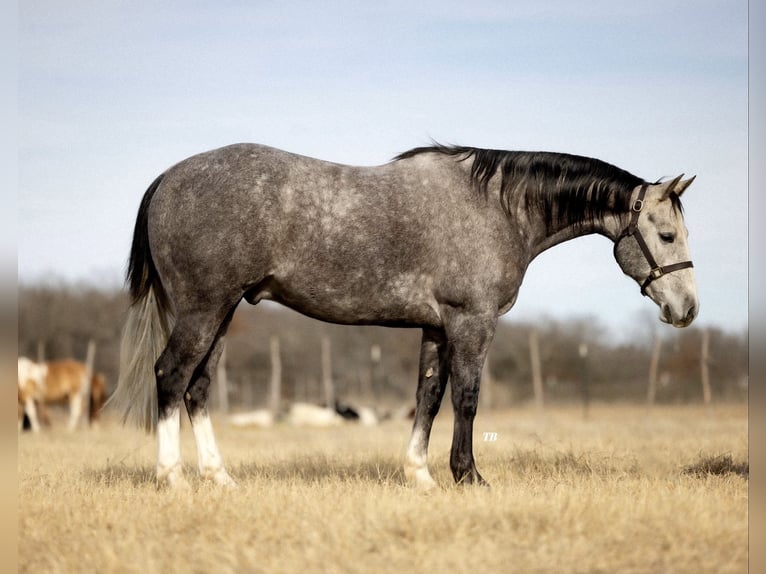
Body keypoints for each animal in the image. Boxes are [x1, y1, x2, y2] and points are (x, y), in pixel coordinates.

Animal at [111, 144, 700, 490]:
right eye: (667, 234)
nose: (688, 309)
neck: (497, 207)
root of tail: (167, 177)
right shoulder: (471, 322)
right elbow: (467, 398)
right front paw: (468, 477)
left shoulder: (436, 327)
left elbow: (429, 396)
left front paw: (420, 476)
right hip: (204, 309)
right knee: (171, 376)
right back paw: (173, 478)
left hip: (223, 312)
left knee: (198, 388)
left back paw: (221, 479)